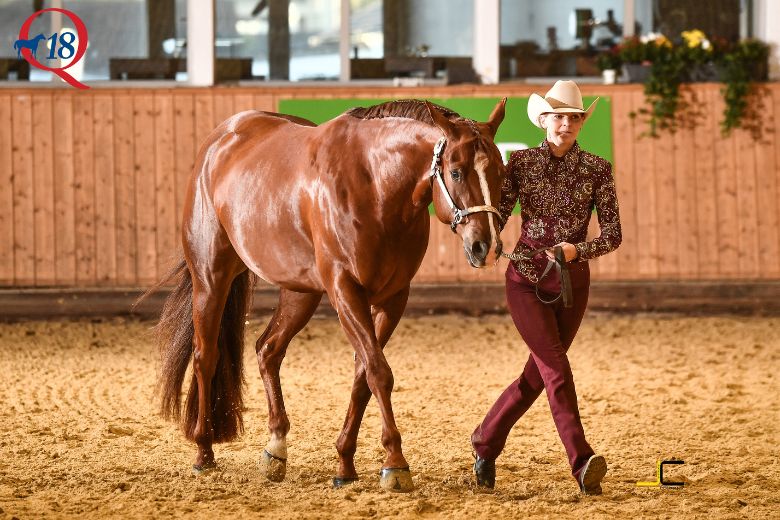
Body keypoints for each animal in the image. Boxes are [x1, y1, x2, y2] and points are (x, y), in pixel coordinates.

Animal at [151, 98, 507, 492]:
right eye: (456, 172)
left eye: (501, 173)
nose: (485, 246)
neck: (376, 186)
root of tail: (220, 140)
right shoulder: (344, 290)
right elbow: (379, 372)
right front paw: (395, 464)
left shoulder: (393, 299)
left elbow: (363, 376)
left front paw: (345, 464)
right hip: (211, 278)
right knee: (205, 357)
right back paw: (204, 452)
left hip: (300, 292)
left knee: (267, 350)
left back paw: (275, 450)